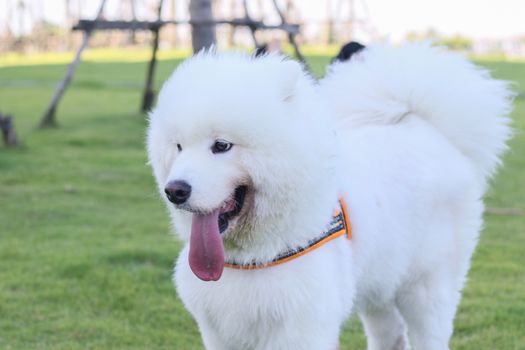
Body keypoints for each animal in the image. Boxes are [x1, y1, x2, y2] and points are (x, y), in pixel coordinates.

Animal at [146, 44, 512, 350]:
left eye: (222, 146)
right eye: (178, 147)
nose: (174, 190)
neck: (254, 256)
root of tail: (426, 128)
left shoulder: (300, 328)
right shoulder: (220, 330)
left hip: (426, 286)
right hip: (379, 281)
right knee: (389, 334)